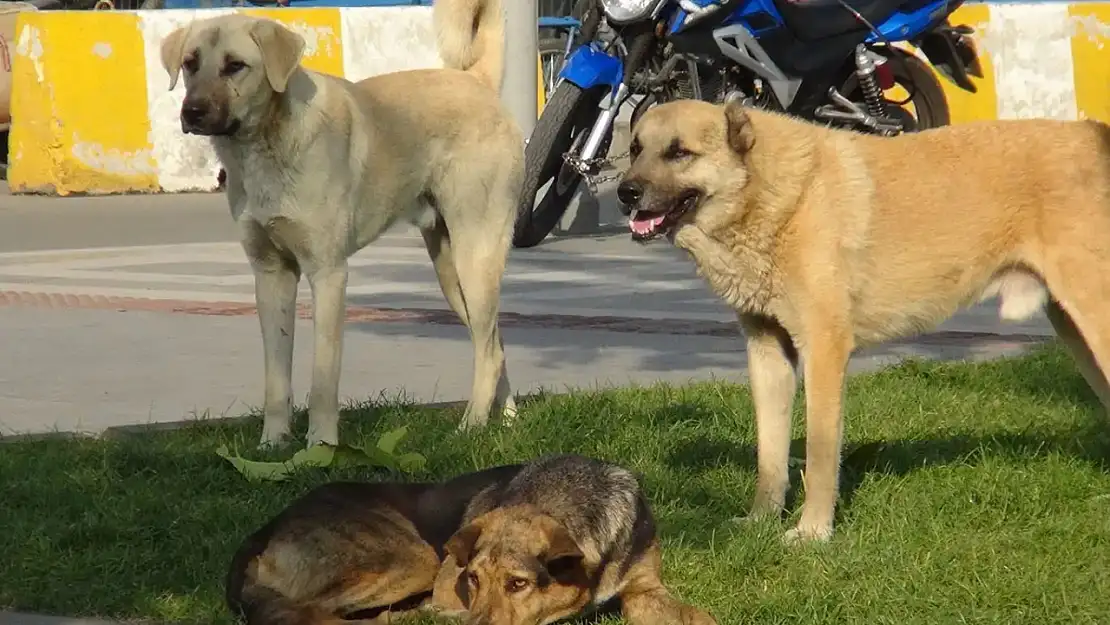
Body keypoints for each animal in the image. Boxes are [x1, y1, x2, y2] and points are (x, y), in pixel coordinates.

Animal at [158, 0, 521, 450]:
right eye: (190, 63)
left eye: (235, 66)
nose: (191, 112)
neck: (267, 143)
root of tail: (477, 81)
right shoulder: (272, 276)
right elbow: (276, 378)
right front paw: (272, 444)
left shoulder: (328, 274)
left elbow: (323, 380)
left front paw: (321, 446)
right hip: (452, 273)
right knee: (494, 343)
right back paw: (505, 422)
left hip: (476, 257)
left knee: (488, 351)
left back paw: (471, 428)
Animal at [226, 455, 714, 625]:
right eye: (472, 579)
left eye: (518, 583)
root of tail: (264, 529)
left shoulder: (645, 588)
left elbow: (700, 616)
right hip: (414, 559)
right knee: (309, 612)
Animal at [617, 97, 1110, 543]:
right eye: (635, 148)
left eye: (679, 153)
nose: (625, 193)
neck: (773, 195)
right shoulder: (768, 353)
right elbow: (770, 454)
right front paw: (761, 520)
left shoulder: (824, 351)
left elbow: (819, 455)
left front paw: (813, 532)